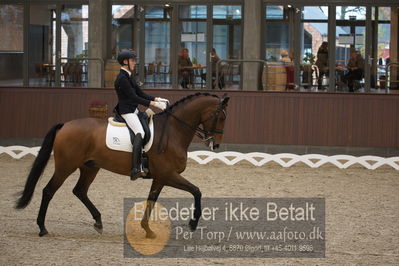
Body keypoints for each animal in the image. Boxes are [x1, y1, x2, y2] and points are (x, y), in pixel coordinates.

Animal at [15, 93, 230, 237]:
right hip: (65, 166)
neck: (173, 131)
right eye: (221, 117)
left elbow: (151, 201)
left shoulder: (160, 178)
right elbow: (196, 191)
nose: (216, 144)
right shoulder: (168, 175)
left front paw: (147, 230)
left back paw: (98, 222)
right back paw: (42, 227)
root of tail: (65, 125)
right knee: (48, 190)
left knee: (80, 191)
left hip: (90, 167)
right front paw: (193, 223)